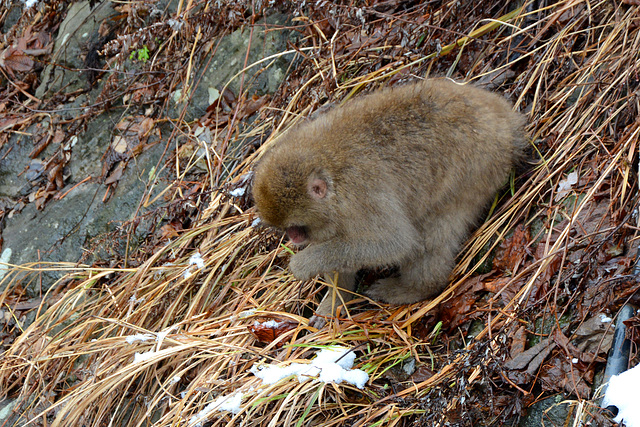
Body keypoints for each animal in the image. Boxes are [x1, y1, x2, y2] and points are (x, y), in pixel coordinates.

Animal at [250, 79, 524, 328]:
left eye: (295, 227)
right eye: (287, 229)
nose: (294, 238)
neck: (330, 169)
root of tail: (504, 117)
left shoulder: (362, 196)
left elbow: (393, 243)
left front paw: (306, 262)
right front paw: (335, 301)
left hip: (477, 167)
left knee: (431, 231)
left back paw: (418, 287)